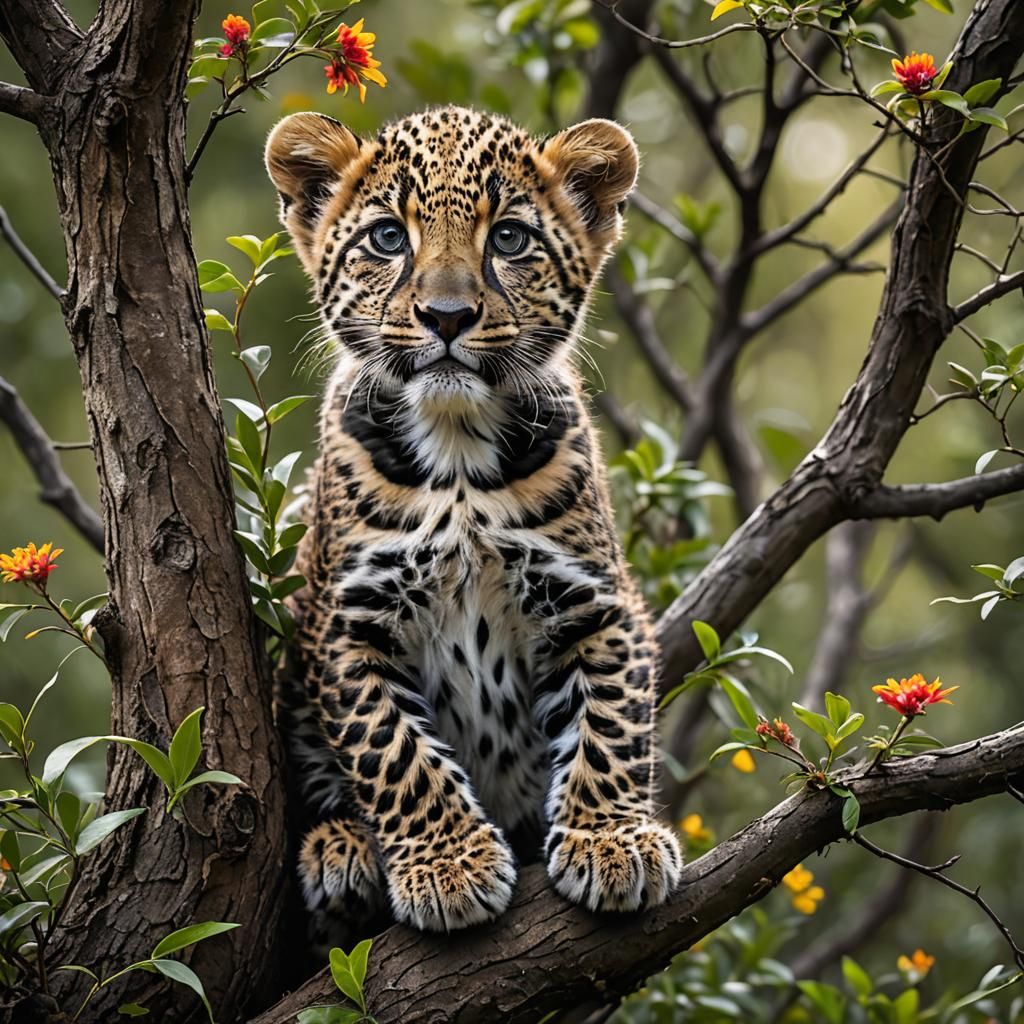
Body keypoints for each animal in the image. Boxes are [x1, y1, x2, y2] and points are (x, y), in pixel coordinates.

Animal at [264, 104, 683, 935]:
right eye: (388, 238)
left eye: (510, 239)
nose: (448, 317)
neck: (456, 451)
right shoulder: (345, 622)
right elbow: (392, 750)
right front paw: (450, 867)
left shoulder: (594, 602)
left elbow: (611, 724)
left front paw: (612, 842)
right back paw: (340, 851)